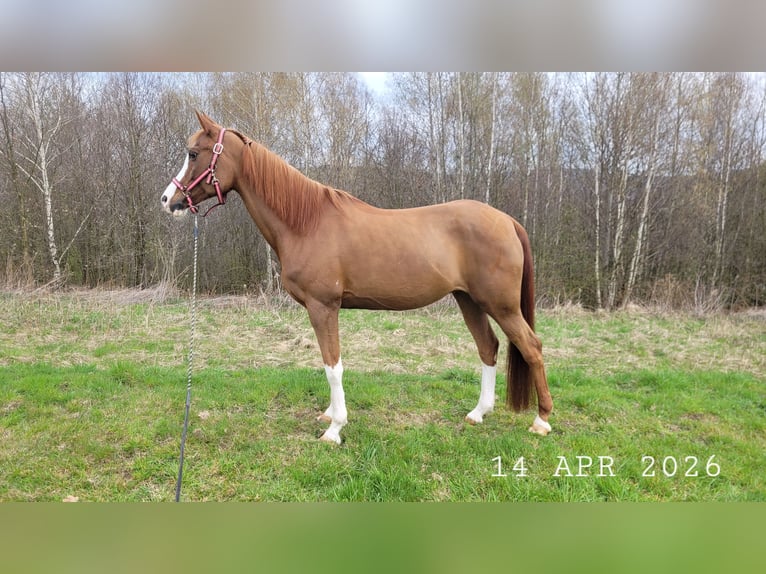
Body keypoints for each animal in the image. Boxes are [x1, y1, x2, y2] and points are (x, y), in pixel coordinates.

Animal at [161, 111, 553, 444]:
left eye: (193, 154)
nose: (168, 200)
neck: (306, 223)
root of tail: (507, 220)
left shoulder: (323, 307)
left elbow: (332, 366)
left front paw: (335, 428)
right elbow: (328, 363)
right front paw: (329, 415)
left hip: (500, 304)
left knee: (531, 347)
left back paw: (541, 421)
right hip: (469, 300)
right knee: (489, 347)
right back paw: (478, 413)